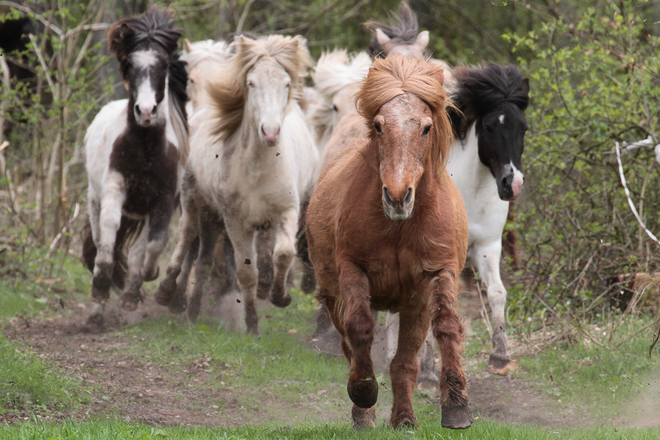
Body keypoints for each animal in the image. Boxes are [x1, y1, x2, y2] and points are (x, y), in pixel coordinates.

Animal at [155, 35, 320, 334]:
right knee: (187, 236)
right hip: (193, 201)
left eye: (286, 83)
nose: (270, 132)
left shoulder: (286, 210)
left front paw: (280, 296)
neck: (258, 167)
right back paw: (167, 292)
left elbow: (283, 254)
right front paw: (252, 325)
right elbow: (245, 273)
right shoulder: (235, 221)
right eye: (251, 83)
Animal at [306, 55, 472, 430]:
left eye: (426, 127)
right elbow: (359, 329)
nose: (397, 197)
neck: (400, 230)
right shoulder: (353, 271)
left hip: (414, 306)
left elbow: (446, 327)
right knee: (351, 343)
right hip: (335, 294)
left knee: (404, 363)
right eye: (380, 126)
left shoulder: (439, 272)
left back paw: (405, 419)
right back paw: (364, 415)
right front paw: (364, 393)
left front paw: (457, 407)